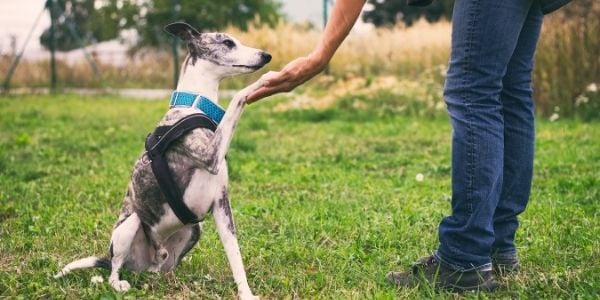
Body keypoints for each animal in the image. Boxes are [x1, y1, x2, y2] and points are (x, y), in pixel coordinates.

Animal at [55, 21, 270, 300]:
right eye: (227, 43)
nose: (266, 55)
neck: (194, 105)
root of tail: (146, 263)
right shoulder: (209, 155)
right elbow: (237, 98)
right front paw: (265, 80)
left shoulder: (221, 204)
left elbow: (235, 254)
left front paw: (246, 293)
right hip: (129, 225)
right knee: (114, 269)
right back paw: (118, 283)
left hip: (193, 231)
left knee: (162, 270)